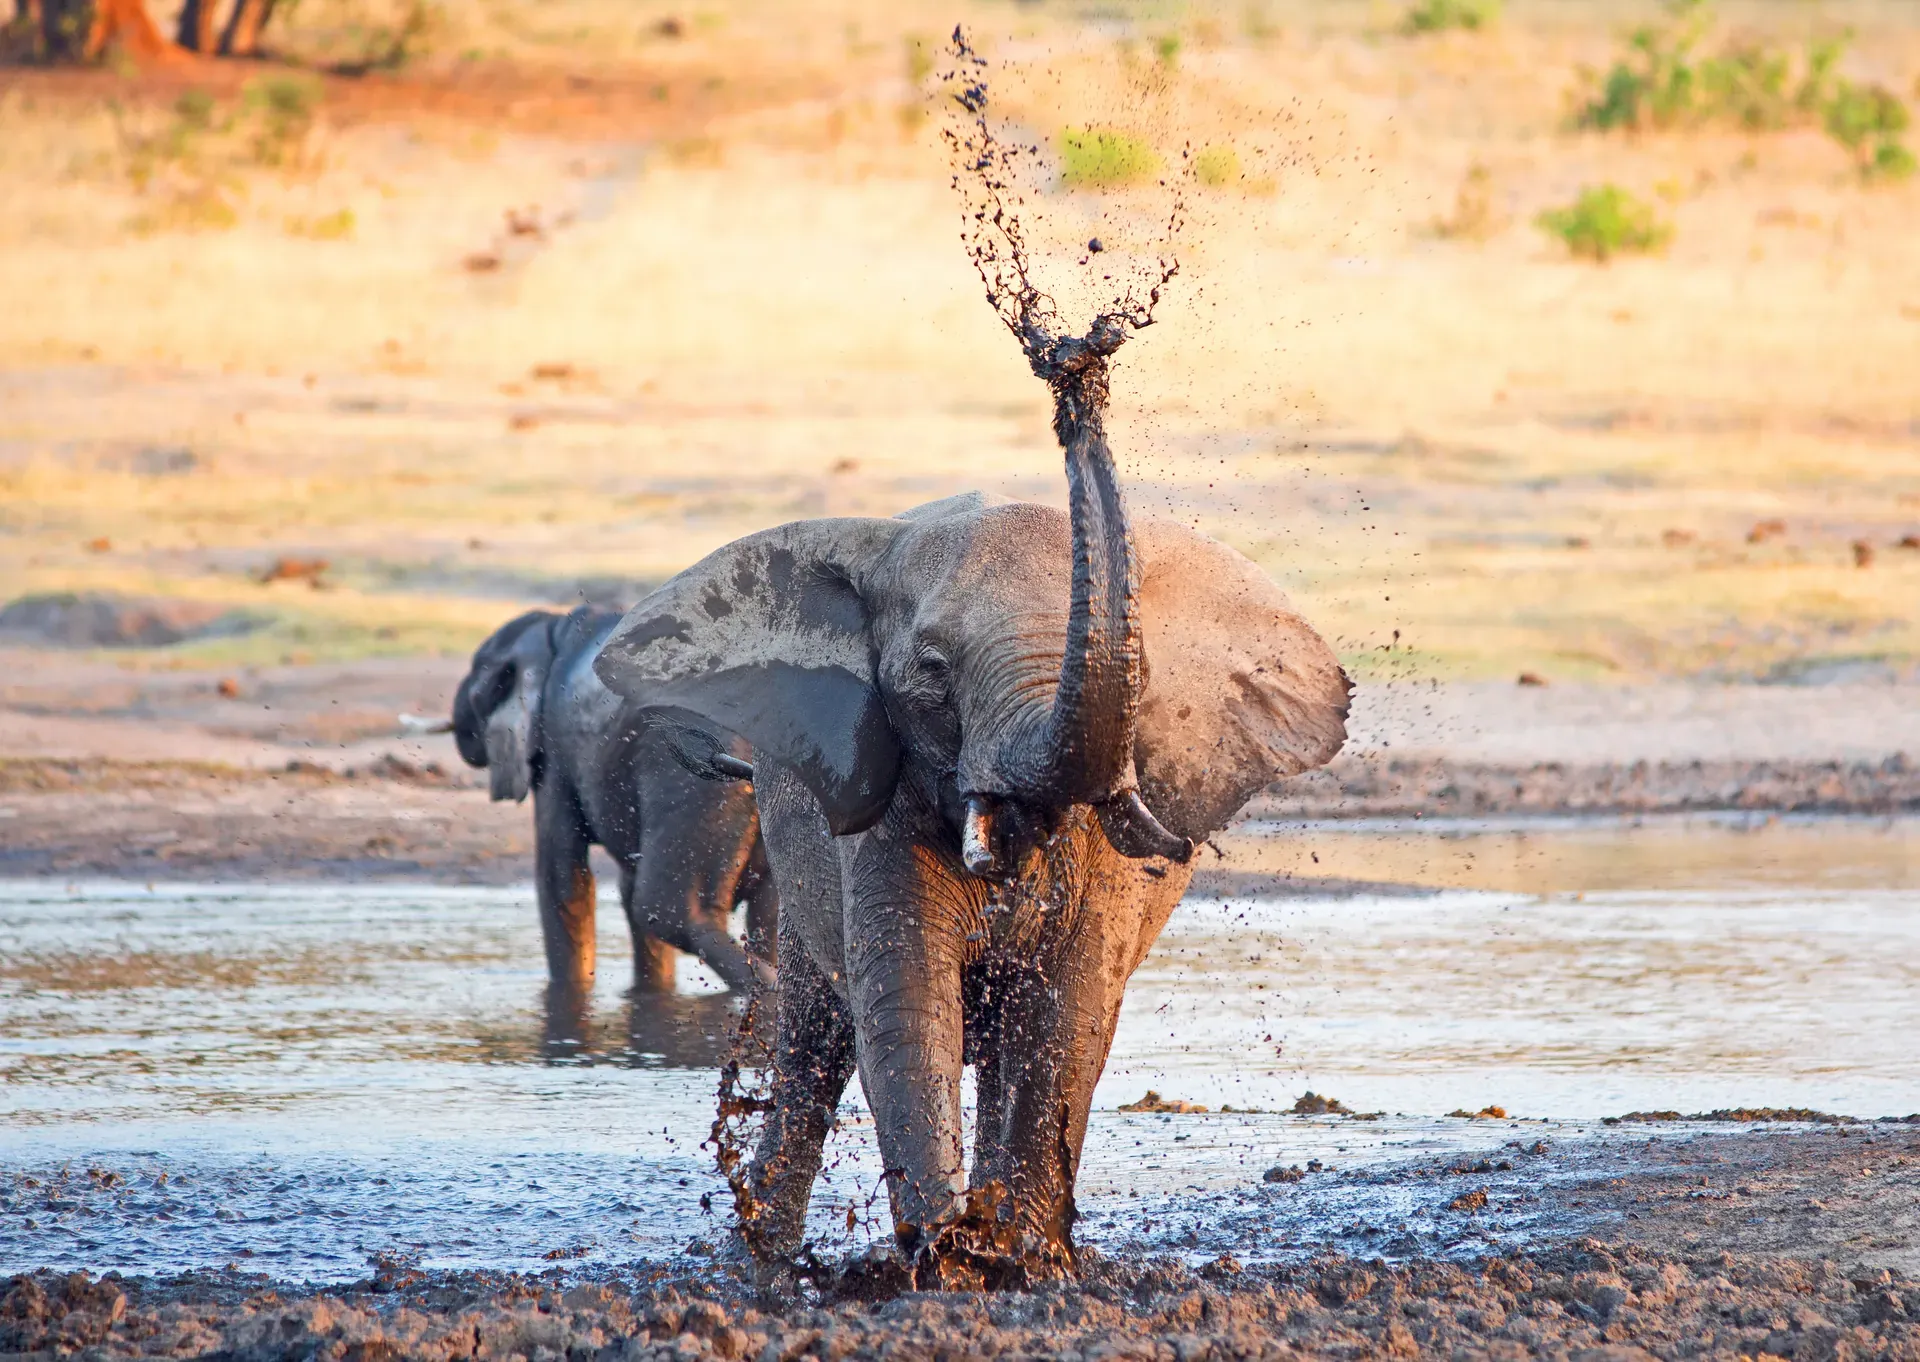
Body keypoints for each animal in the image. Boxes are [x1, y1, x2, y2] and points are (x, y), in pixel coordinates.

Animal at [451, 606, 776, 997]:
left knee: (672, 911)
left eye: (477, 694)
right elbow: (622, 889)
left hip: (696, 778)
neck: (551, 629)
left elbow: (562, 878)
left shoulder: (554, 754)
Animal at [595, 432, 1350, 1287]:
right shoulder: (884, 800)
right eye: (932, 670)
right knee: (813, 1047)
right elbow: (910, 999)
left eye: (1144, 672)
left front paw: (1023, 1264)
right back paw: (762, 1266)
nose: (1076, 398)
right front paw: (946, 1264)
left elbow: (1067, 1012)